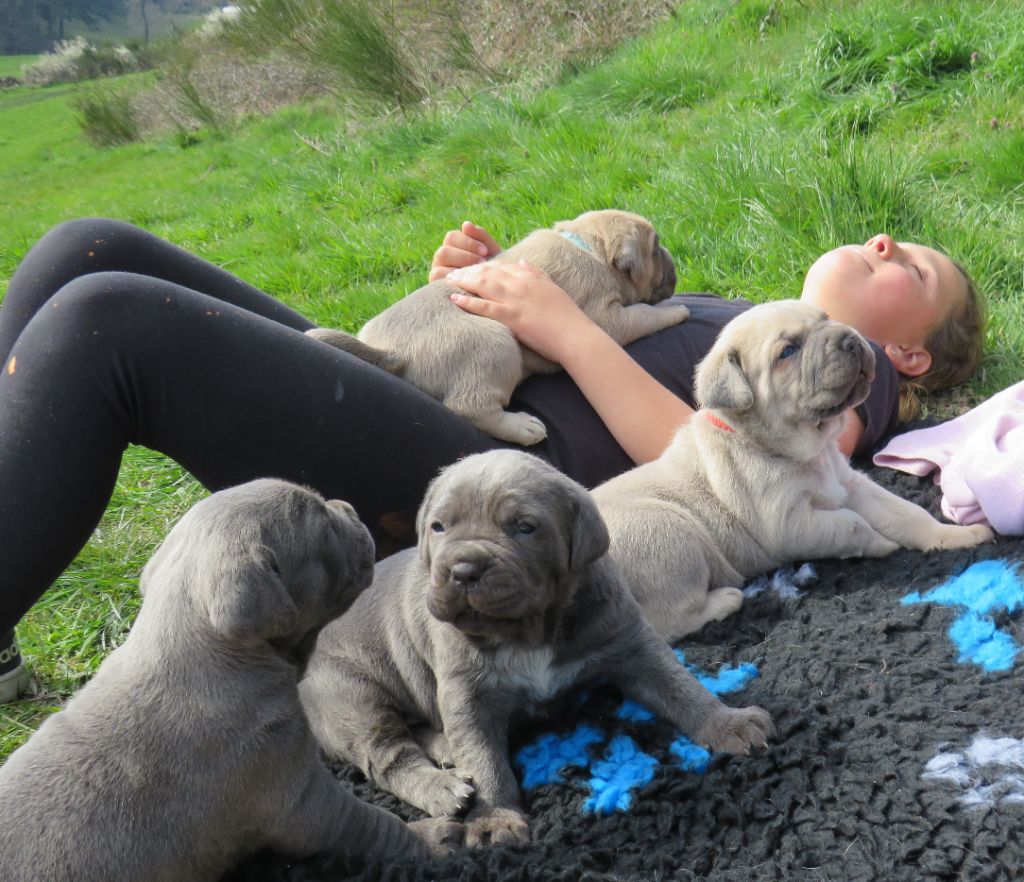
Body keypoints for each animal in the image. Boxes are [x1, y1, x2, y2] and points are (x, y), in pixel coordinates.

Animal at [299, 450, 770, 848]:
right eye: (438, 527)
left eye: (524, 527)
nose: (463, 569)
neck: (524, 632)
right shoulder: (466, 694)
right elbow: (484, 758)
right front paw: (495, 819)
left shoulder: (630, 640)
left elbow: (678, 685)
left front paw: (728, 723)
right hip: (349, 695)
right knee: (388, 755)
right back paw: (444, 788)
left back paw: (446, 749)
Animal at [589, 299, 995, 643]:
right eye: (787, 351)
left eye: (826, 317)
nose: (851, 339)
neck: (798, 448)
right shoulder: (789, 523)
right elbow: (851, 524)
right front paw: (881, 544)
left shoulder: (848, 482)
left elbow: (904, 512)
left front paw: (955, 536)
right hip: (666, 530)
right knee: (666, 623)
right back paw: (725, 600)